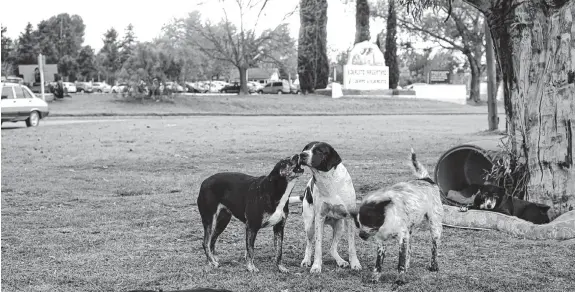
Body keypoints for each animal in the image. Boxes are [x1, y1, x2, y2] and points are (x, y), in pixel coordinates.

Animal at [296, 141, 360, 274]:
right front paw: (316, 266)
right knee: (309, 244)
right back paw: (306, 260)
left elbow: (352, 246)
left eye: (319, 151)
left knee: (332, 248)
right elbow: (318, 247)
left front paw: (355, 263)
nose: (302, 154)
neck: (327, 179)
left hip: (340, 227)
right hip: (310, 225)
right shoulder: (319, 218)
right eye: (305, 148)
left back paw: (341, 261)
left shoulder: (349, 219)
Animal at [352, 149, 446, 286]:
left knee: (434, 247)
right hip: (410, 230)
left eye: (369, 219)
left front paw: (400, 279)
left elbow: (400, 262)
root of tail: (426, 179)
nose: (361, 235)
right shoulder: (381, 242)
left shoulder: (402, 237)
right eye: (357, 223)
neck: (387, 219)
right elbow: (378, 263)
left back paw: (434, 265)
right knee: (410, 249)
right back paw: (408, 266)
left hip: (434, 226)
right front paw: (375, 277)